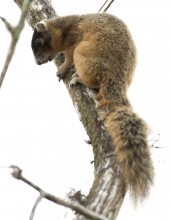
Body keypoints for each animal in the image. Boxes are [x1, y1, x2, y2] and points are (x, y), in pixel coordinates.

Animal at [31, 11, 154, 201]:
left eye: (38, 42)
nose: (37, 63)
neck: (65, 27)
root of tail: (115, 78)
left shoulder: (73, 40)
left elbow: (68, 56)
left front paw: (63, 68)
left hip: (84, 54)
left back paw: (79, 78)